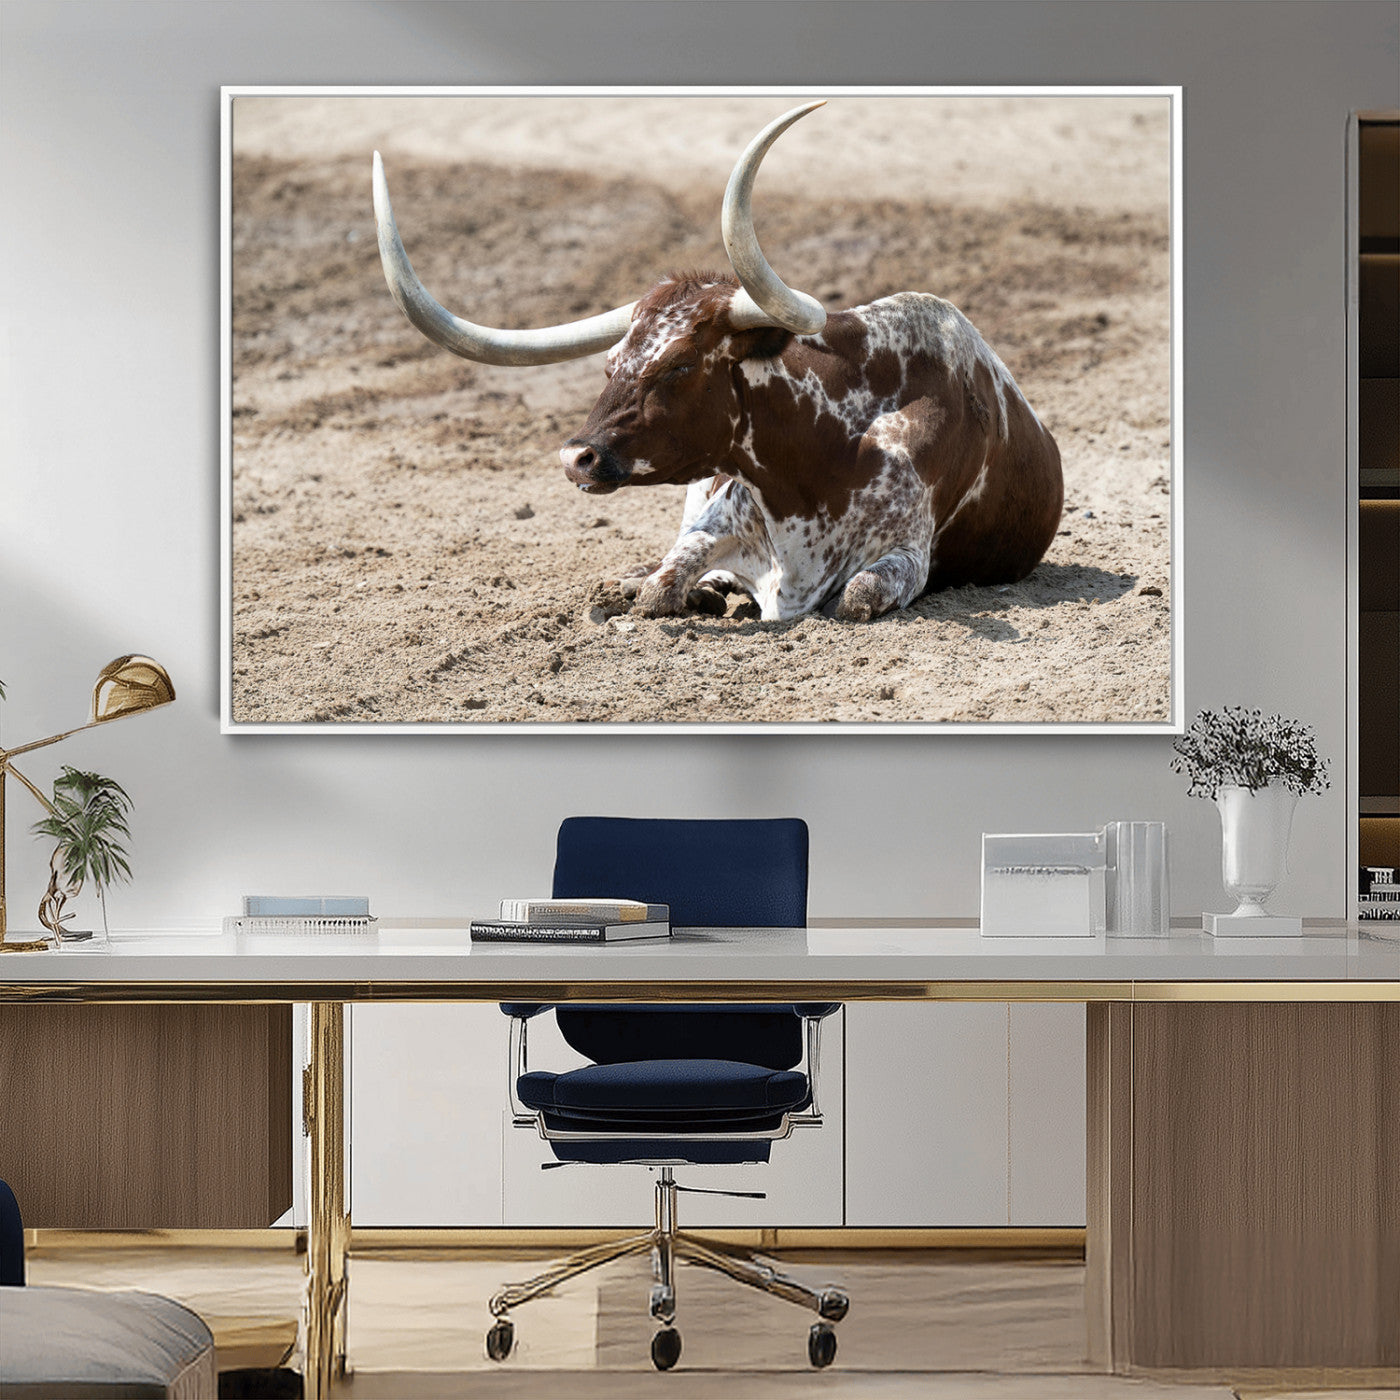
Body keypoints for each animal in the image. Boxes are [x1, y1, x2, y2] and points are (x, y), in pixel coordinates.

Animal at [372, 101, 1062, 622]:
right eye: (611, 363)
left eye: (679, 364)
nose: (576, 457)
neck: (824, 455)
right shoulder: (714, 518)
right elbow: (663, 583)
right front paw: (663, 588)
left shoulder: (906, 556)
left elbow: (856, 596)